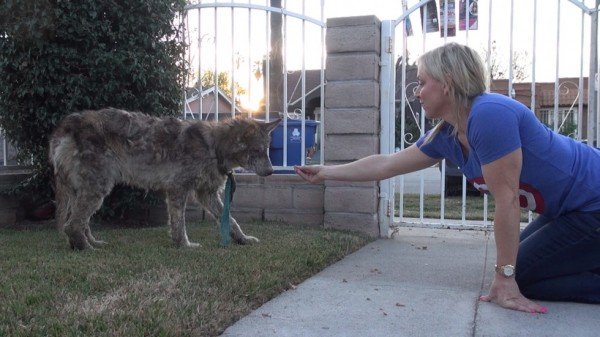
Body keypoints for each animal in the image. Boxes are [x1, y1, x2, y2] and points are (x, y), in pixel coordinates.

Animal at [48, 107, 278, 249]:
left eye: (266, 150)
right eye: (257, 151)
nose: (271, 172)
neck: (213, 146)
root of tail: (67, 124)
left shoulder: (207, 194)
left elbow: (230, 220)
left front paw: (243, 239)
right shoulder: (178, 189)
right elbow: (179, 223)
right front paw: (184, 245)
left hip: (86, 191)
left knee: (80, 223)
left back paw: (91, 243)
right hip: (97, 189)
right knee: (72, 225)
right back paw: (87, 248)